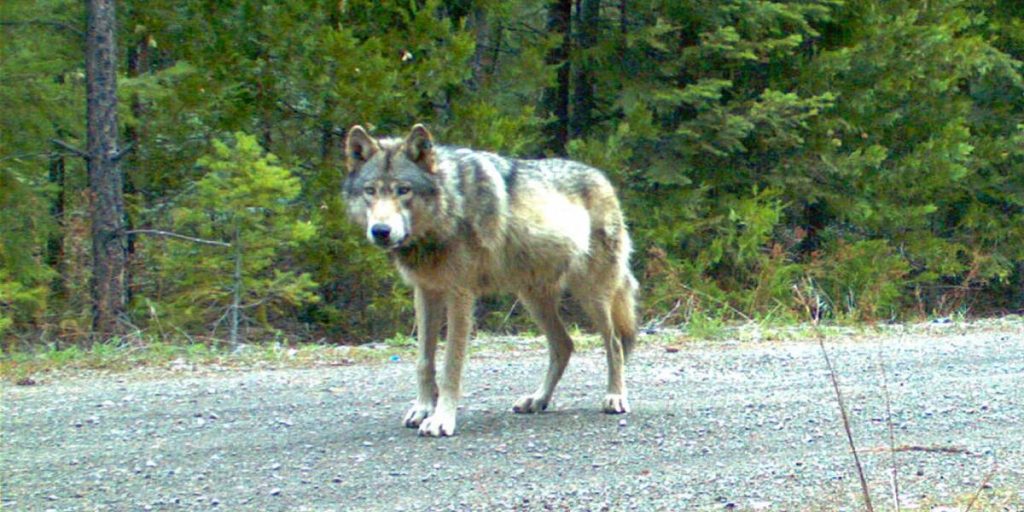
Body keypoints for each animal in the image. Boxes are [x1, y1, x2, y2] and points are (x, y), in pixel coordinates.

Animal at [344, 122, 638, 436]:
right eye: (370, 191)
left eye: (403, 190)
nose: (381, 231)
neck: (450, 207)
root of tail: (603, 178)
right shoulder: (425, 292)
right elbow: (424, 361)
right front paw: (422, 409)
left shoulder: (460, 295)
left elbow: (450, 366)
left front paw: (441, 419)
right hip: (533, 299)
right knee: (564, 345)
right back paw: (537, 400)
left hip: (592, 295)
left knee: (615, 343)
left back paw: (615, 397)